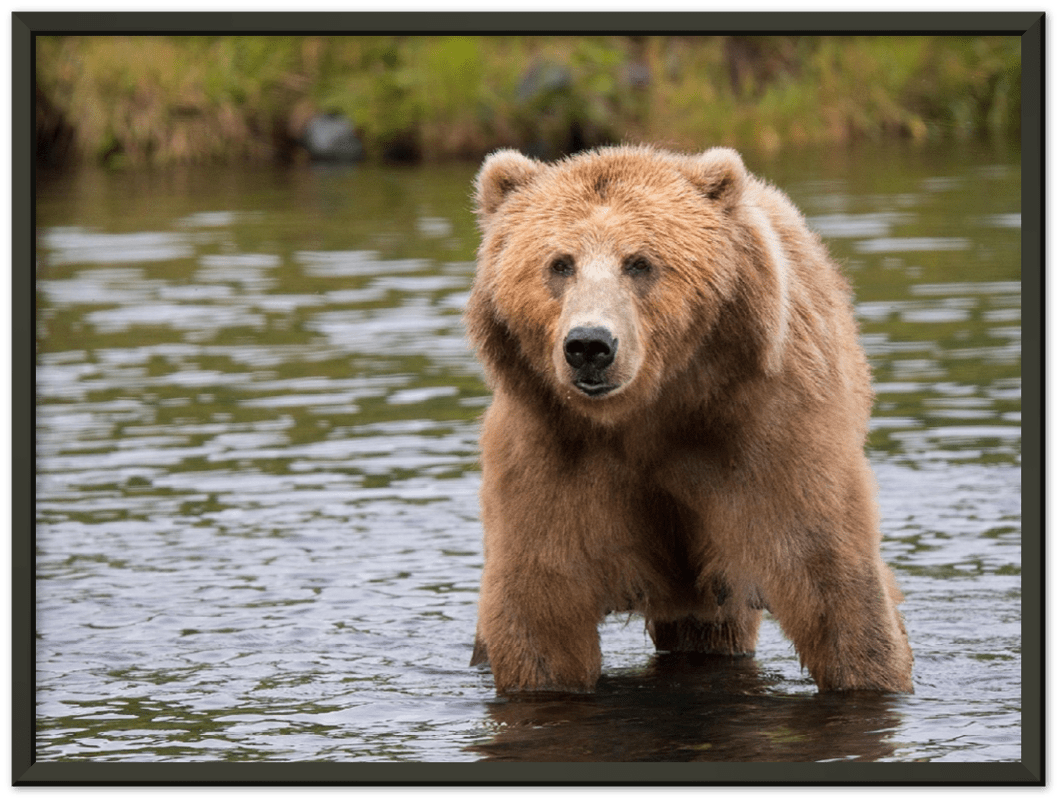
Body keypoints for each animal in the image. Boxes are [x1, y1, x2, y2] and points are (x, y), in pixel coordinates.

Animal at [464, 144, 913, 694]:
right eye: (560, 264)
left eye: (639, 262)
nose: (589, 345)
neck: (651, 413)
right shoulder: (551, 452)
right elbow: (541, 607)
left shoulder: (767, 436)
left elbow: (831, 579)